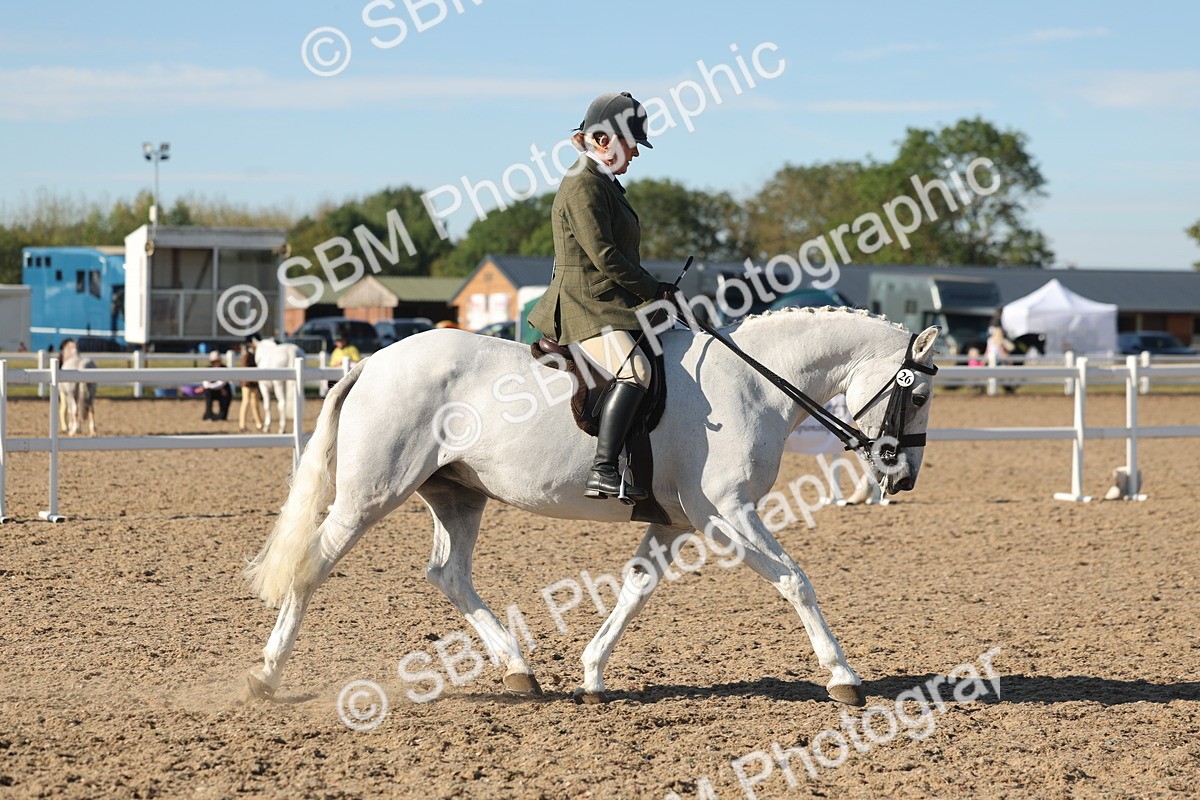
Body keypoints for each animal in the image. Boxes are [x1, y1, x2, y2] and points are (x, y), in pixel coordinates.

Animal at [244, 307, 940, 706]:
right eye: (919, 393)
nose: (902, 476)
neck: (751, 383)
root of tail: (373, 363)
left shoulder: (674, 522)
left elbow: (635, 587)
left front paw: (592, 673)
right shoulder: (726, 513)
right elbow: (796, 581)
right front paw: (843, 678)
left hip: (458, 494)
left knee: (448, 574)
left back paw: (520, 670)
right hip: (371, 495)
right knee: (313, 564)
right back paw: (265, 678)